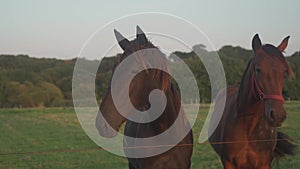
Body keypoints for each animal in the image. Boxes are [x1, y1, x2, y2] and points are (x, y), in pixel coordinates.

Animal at [210, 34, 296, 169]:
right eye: (258, 69)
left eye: (284, 72)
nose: (278, 115)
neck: (248, 128)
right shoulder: (229, 163)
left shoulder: (264, 164)